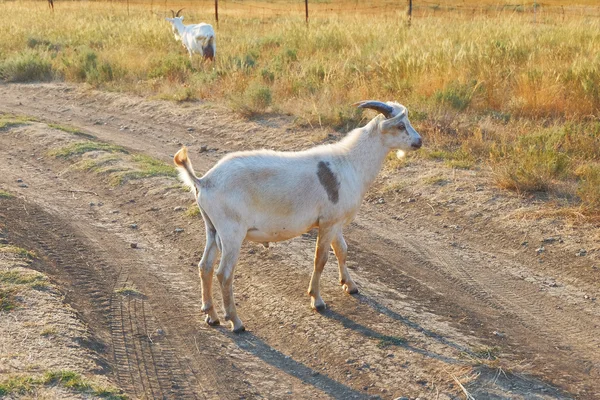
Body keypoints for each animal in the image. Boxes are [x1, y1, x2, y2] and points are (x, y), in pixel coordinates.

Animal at [175, 101, 422, 332]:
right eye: (400, 125)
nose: (419, 142)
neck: (350, 163)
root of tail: (204, 182)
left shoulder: (335, 222)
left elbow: (342, 250)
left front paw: (350, 286)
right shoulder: (328, 222)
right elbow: (321, 259)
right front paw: (317, 300)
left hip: (212, 229)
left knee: (205, 267)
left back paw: (211, 316)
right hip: (231, 233)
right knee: (224, 274)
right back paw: (235, 322)